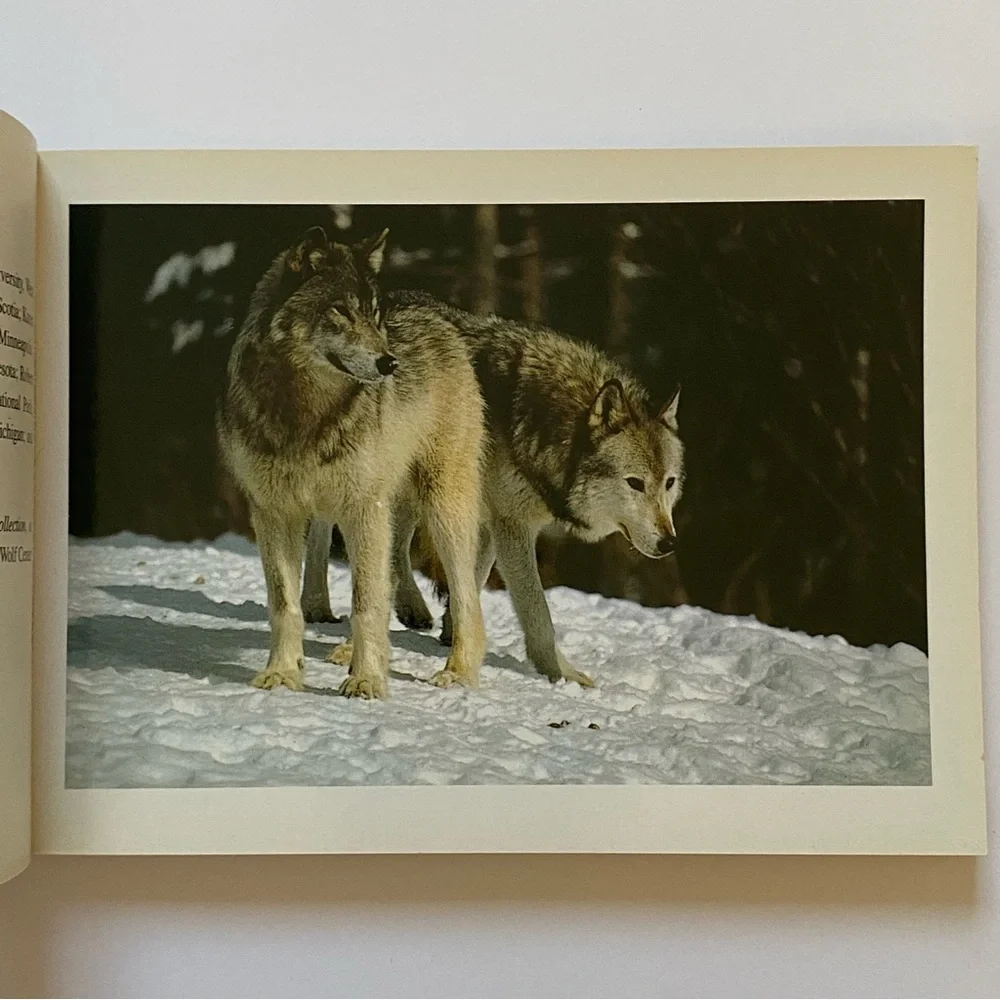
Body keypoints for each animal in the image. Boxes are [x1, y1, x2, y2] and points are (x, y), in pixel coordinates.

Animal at [217, 229, 486, 699]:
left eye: (374, 314)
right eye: (341, 311)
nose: (389, 363)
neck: (304, 412)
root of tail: (434, 307)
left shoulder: (362, 507)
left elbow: (365, 604)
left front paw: (367, 679)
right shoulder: (274, 513)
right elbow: (285, 603)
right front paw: (283, 673)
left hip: (441, 508)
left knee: (465, 595)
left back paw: (458, 672)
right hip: (385, 509)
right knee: (390, 574)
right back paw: (346, 652)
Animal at [305, 293, 683, 688]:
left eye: (669, 482)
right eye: (635, 483)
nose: (669, 543)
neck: (539, 423)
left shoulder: (488, 519)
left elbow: (471, 579)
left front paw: (453, 633)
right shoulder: (511, 525)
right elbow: (537, 612)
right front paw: (563, 674)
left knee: (396, 551)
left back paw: (412, 609)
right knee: (324, 530)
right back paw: (318, 606)